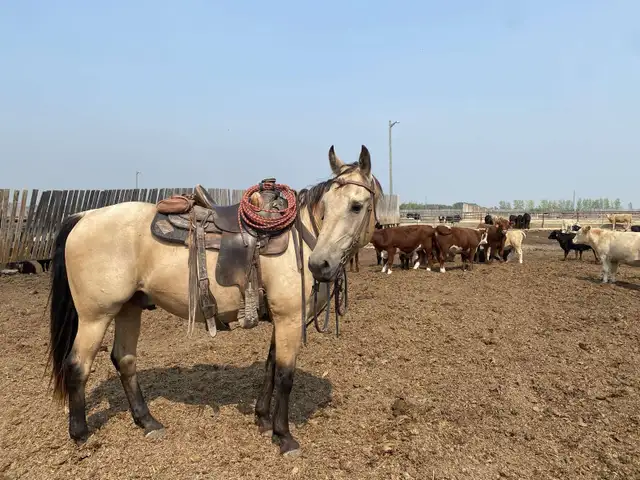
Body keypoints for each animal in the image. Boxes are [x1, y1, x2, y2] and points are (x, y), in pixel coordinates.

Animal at [46, 145, 383, 456]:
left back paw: (148, 422)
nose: (319, 264)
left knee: (124, 359)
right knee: (77, 365)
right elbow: (286, 374)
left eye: (356, 206)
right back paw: (80, 432)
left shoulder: (281, 318)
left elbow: (270, 365)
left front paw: (262, 418)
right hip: (96, 316)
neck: (302, 239)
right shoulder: (289, 317)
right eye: (326, 205)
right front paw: (284, 436)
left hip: (129, 308)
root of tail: (84, 216)